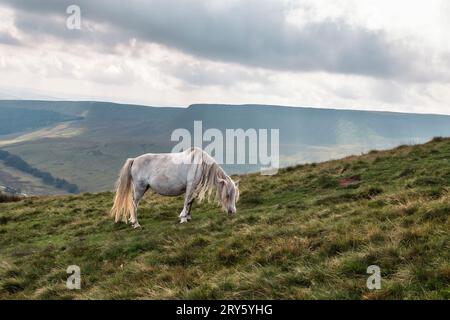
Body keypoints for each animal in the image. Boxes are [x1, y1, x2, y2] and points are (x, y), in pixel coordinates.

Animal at [110, 147, 239, 228]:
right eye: (228, 195)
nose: (233, 212)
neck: (199, 163)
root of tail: (134, 160)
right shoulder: (190, 186)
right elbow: (187, 201)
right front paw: (183, 219)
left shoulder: (194, 188)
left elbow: (190, 202)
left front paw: (188, 217)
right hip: (139, 188)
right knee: (133, 204)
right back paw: (136, 224)